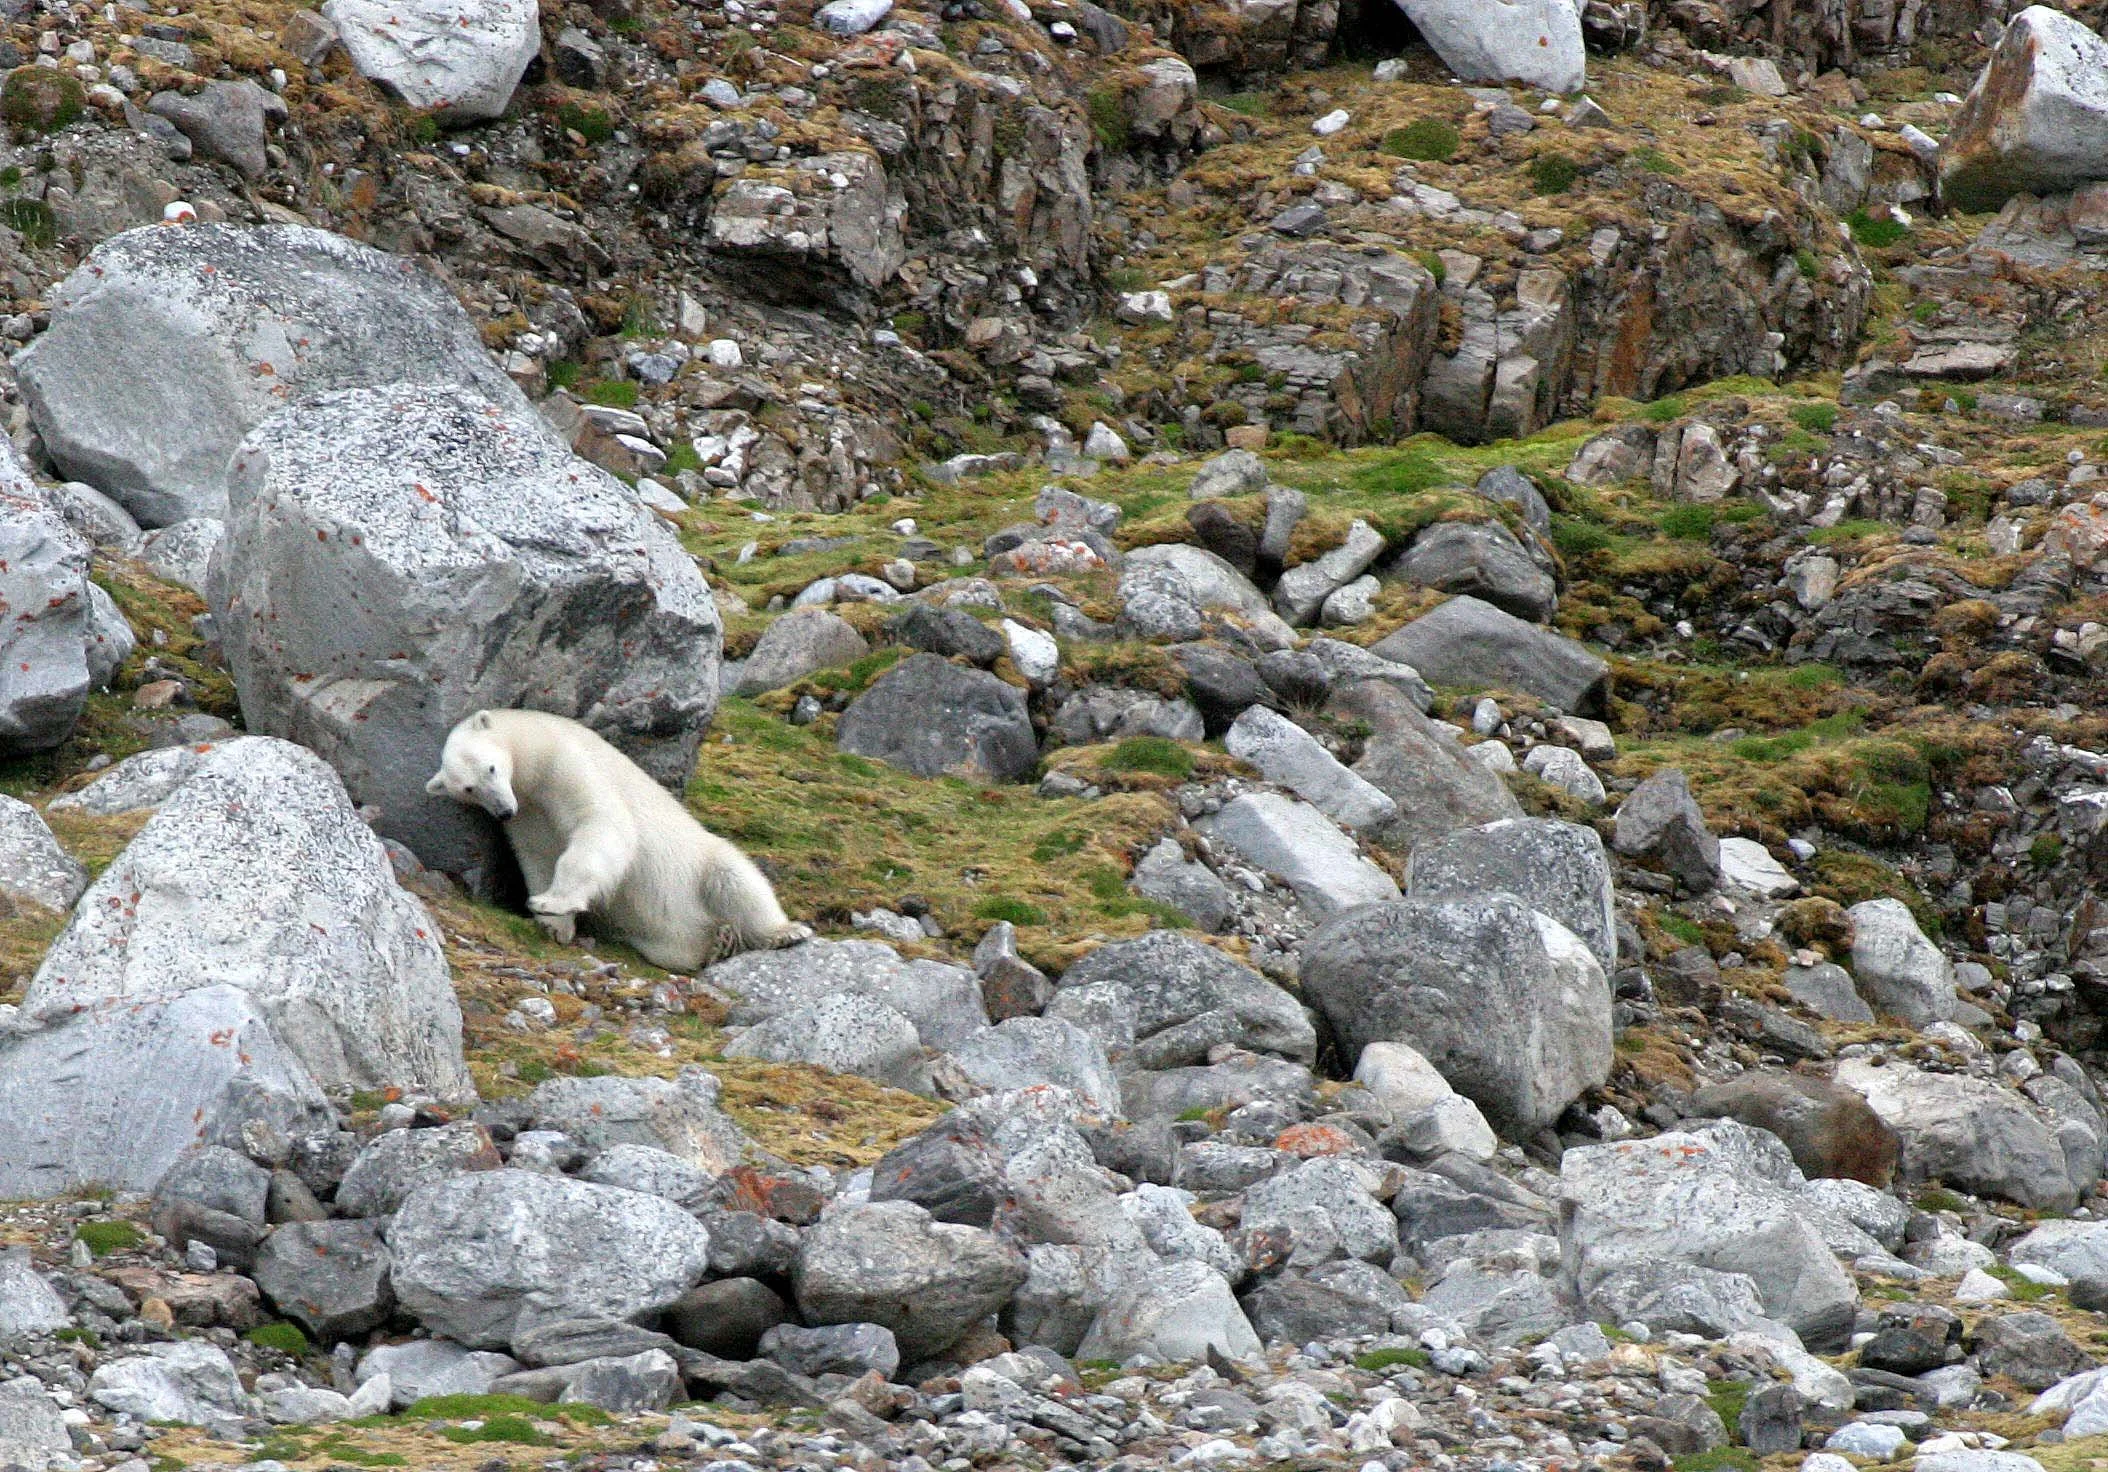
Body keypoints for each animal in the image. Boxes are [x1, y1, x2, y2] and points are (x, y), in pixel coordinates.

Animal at [425, 709, 811, 970]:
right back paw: (716, 946)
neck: (536, 748)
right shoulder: (529, 813)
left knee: (735, 879)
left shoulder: (565, 763)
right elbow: (539, 855)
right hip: (661, 940)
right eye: (469, 789)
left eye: (491, 768)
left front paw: (553, 904)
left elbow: (601, 824)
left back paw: (783, 932)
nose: (503, 810)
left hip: (701, 862)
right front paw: (555, 925)